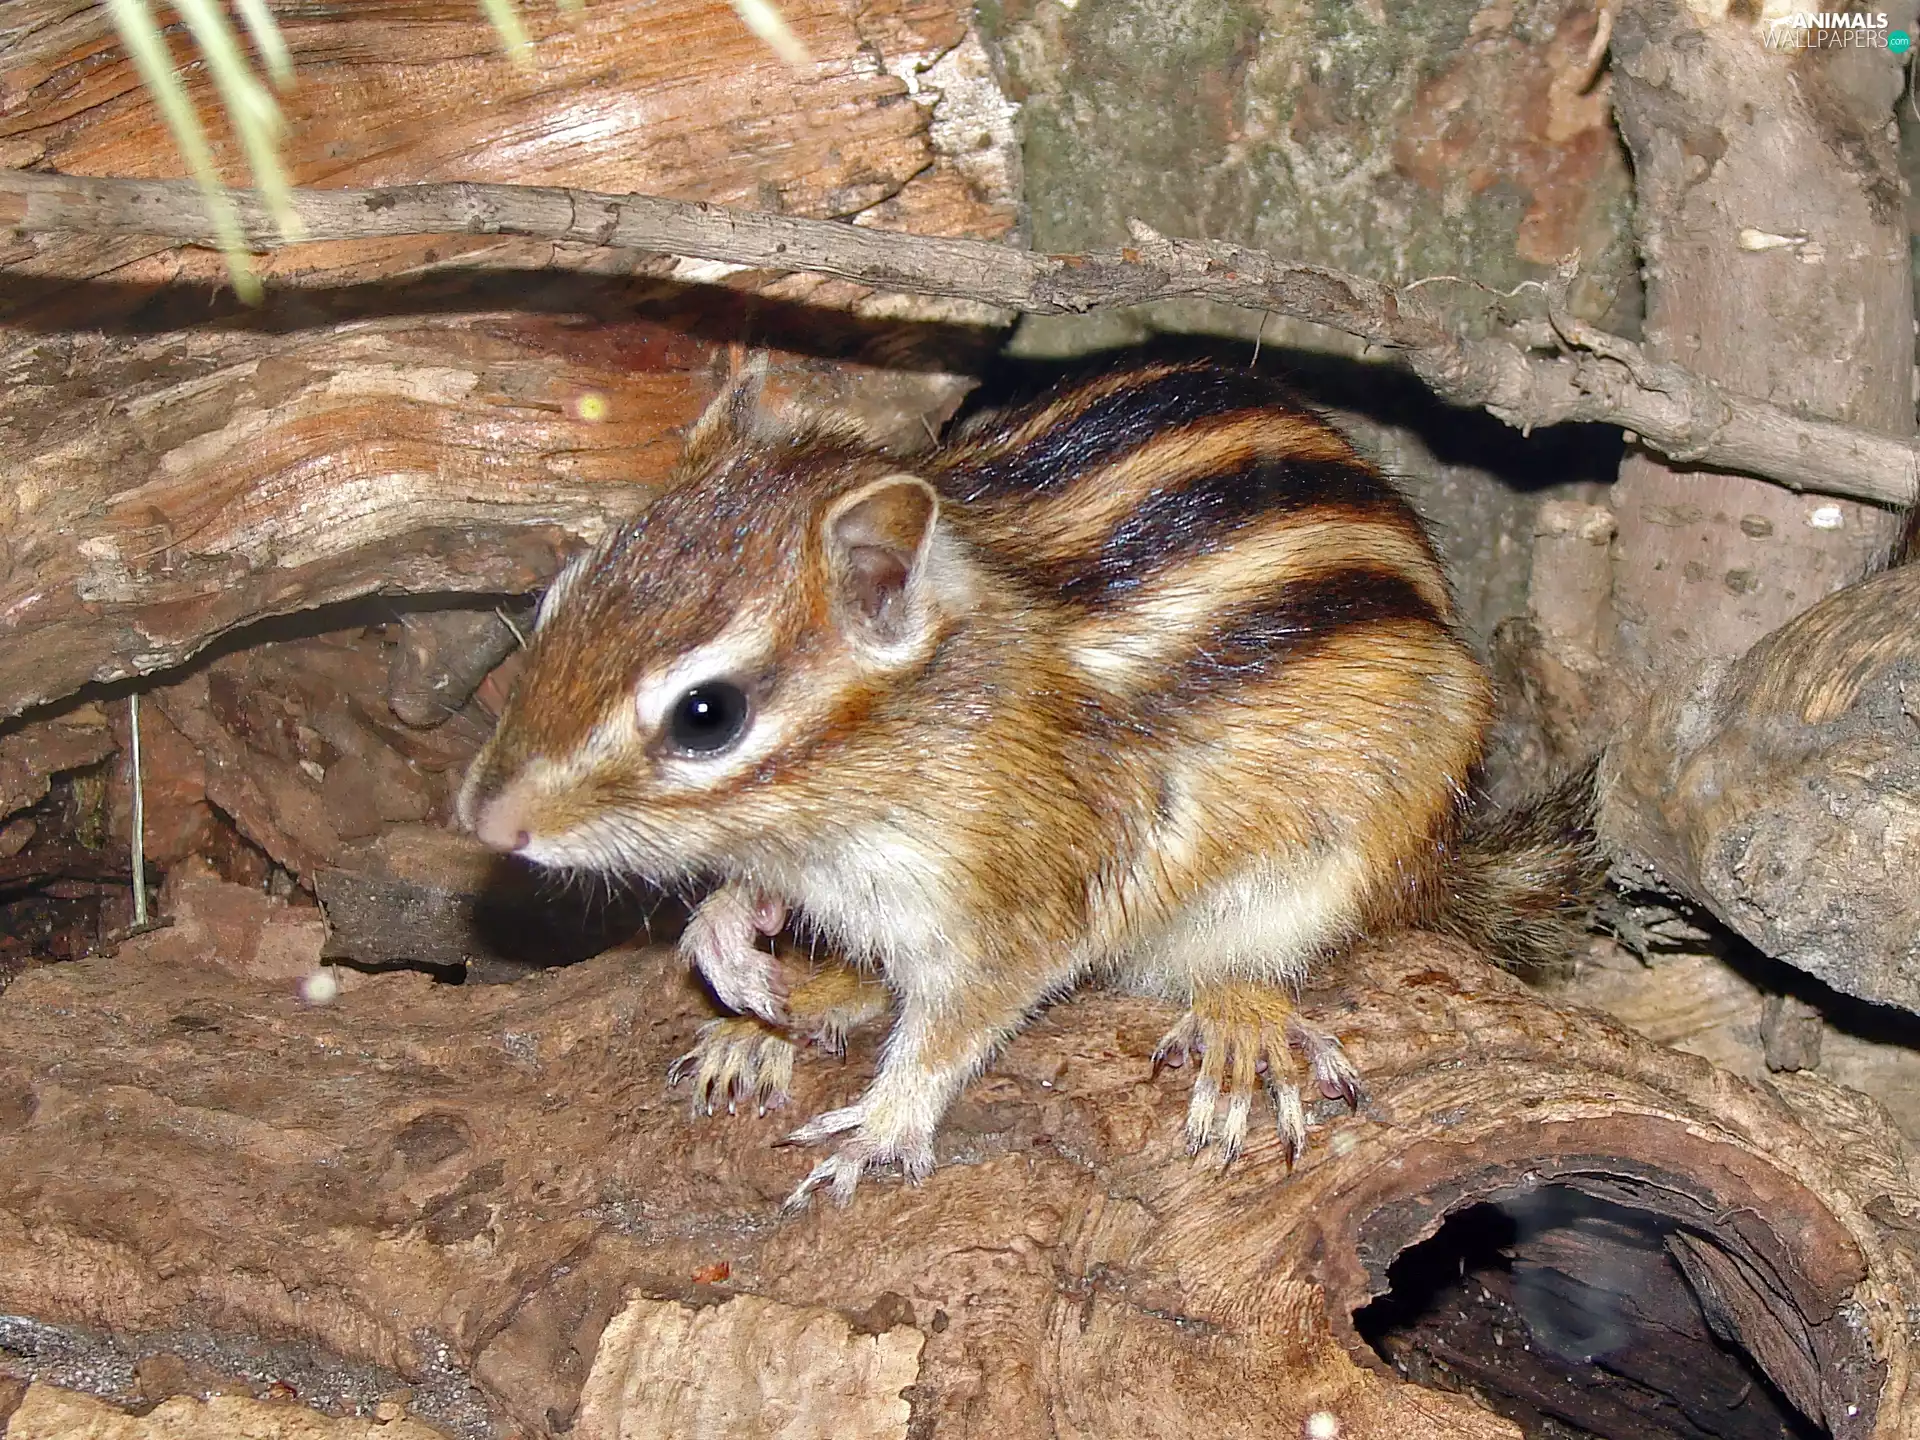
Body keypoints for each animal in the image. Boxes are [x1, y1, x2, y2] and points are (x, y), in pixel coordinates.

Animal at [458, 359, 1601, 1207]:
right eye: (559, 597)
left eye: (708, 715)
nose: (488, 819)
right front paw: (732, 941)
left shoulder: (1018, 898)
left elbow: (957, 1025)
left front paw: (879, 1129)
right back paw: (774, 1019)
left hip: (1350, 851)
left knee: (1259, 955)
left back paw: (1241, 1022)